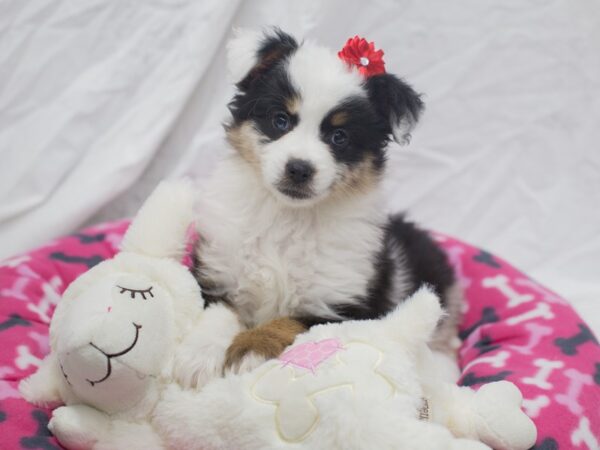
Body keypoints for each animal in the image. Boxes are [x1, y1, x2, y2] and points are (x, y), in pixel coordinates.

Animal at [193, 28, 464, 372]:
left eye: (339, 137)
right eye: (280, 120)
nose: (299, 169)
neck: (288, 217)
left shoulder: (343, 303)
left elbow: (291, 321)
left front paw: (251, 350)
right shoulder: (219, 267)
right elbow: (218, 308)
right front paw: (201, 353)